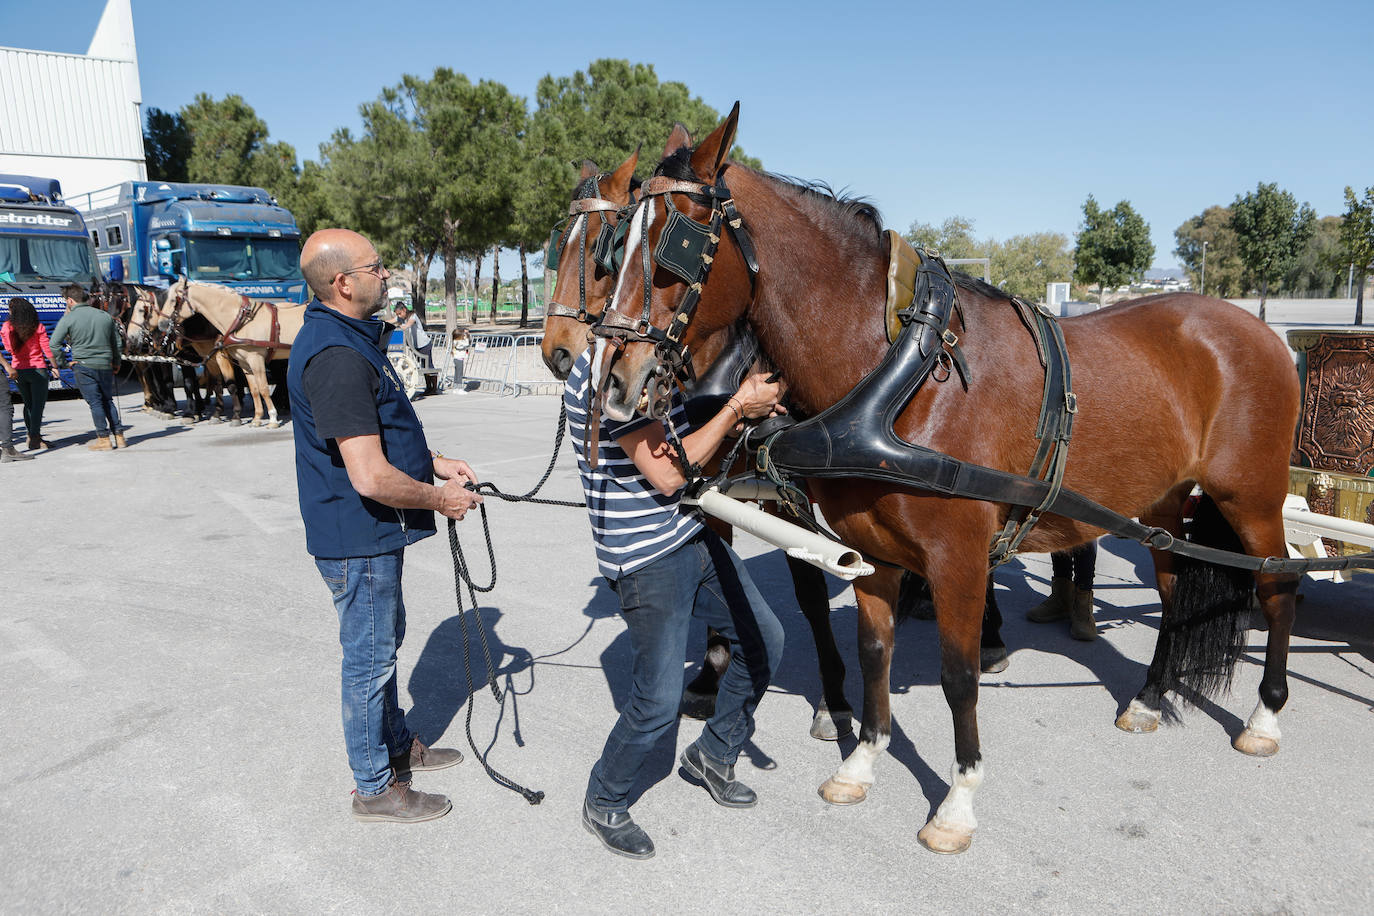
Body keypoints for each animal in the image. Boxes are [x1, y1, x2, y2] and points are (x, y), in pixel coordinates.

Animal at [172, 279, 304, 428]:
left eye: (176, 300)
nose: (168, 323)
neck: (241, 321)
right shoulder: (243, 362)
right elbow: (254, 389)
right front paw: (256, 418)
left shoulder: (255, 359)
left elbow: (263, 388)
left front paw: (272, 418)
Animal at [594, 104, 1300, 854]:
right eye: (613, 247)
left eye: (673, 246)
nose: (616, 384)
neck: (900, 373)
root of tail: (1259, 330)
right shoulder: (870, 553)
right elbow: (874, 652)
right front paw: (860, 762)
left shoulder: (958, 558)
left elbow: (959, 677)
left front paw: (957, 802)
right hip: (1162, 504)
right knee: (1172, 591)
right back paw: (1149, 697)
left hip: (1251, 499)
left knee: (1277, 586)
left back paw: (1265, 717)